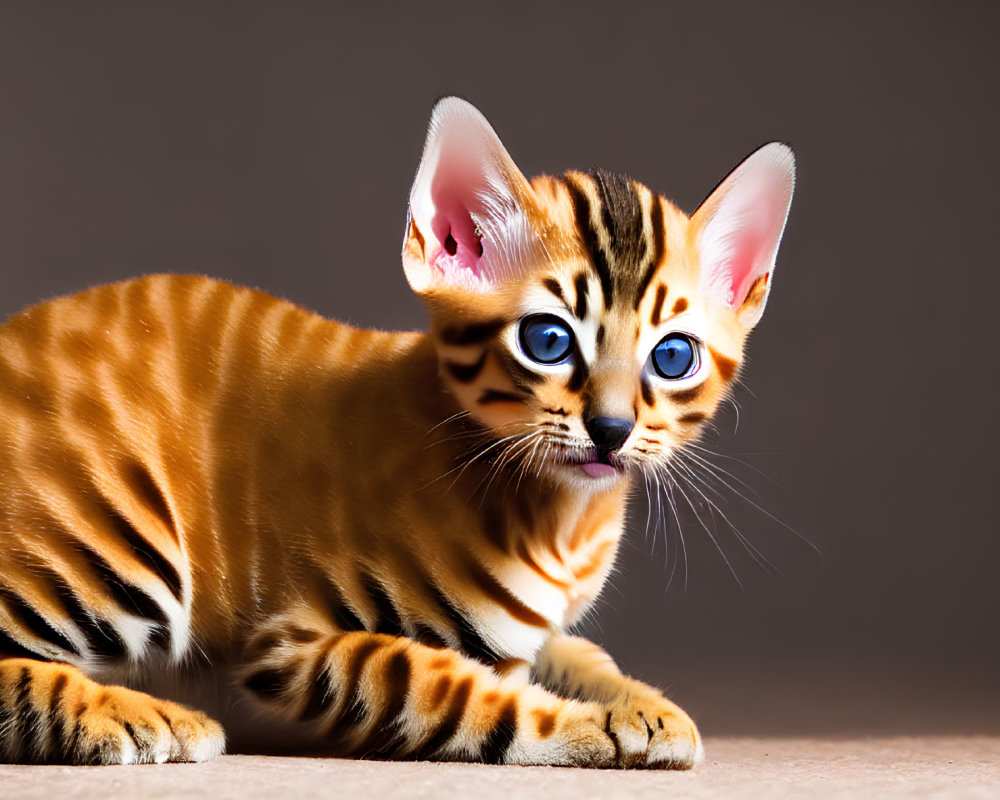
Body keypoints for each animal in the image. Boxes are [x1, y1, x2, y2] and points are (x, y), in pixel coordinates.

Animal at [0, 100, 796, 768]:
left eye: (673, 356)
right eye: (548, 340)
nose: (611, 428)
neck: (563, 524)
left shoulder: (538, 635)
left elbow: (581, 653)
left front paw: (645, 703)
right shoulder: (287, 648)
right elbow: (445, 685)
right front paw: (598, 725)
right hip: (120, 535)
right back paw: (138, 716)